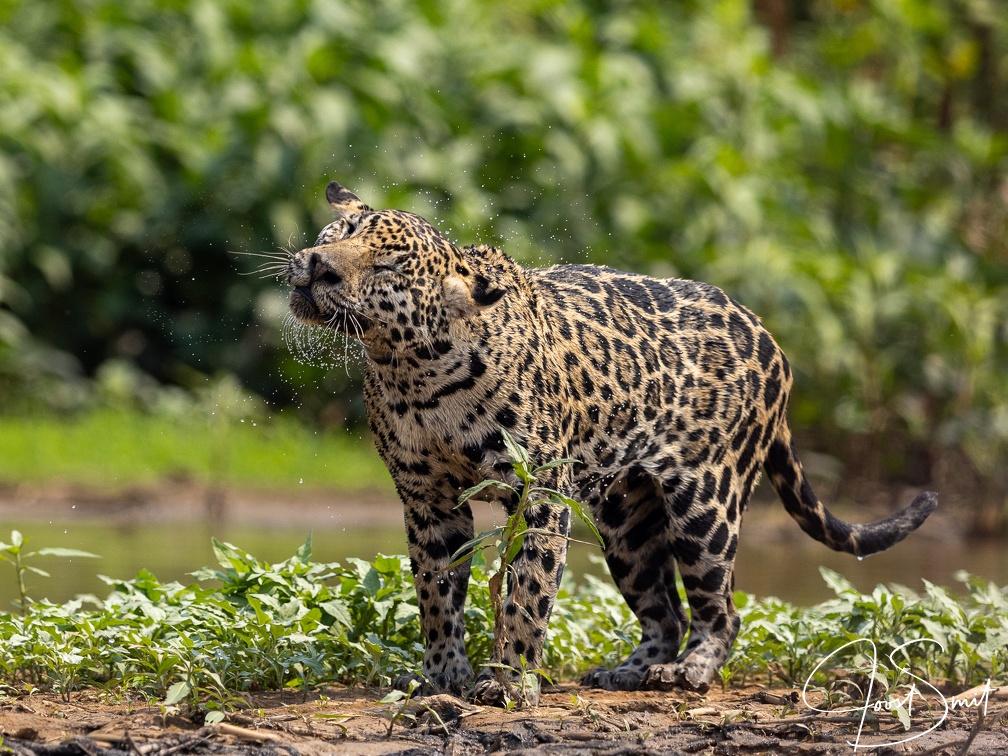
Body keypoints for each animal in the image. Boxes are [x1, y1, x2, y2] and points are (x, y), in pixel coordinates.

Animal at [285, 181, 937, 704]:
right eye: (342, 232)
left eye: (389, 266)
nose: (317, 265)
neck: (411, 370)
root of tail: (769, 338)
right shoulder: (429, 502)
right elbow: (437, 594)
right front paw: (442, 676)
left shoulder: (540, 493)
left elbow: (527, 591)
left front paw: (509, 680)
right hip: (627, 524)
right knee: (664, 613)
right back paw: (628, 670)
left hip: (707, 509)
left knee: (721, 611)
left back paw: (688, 673)